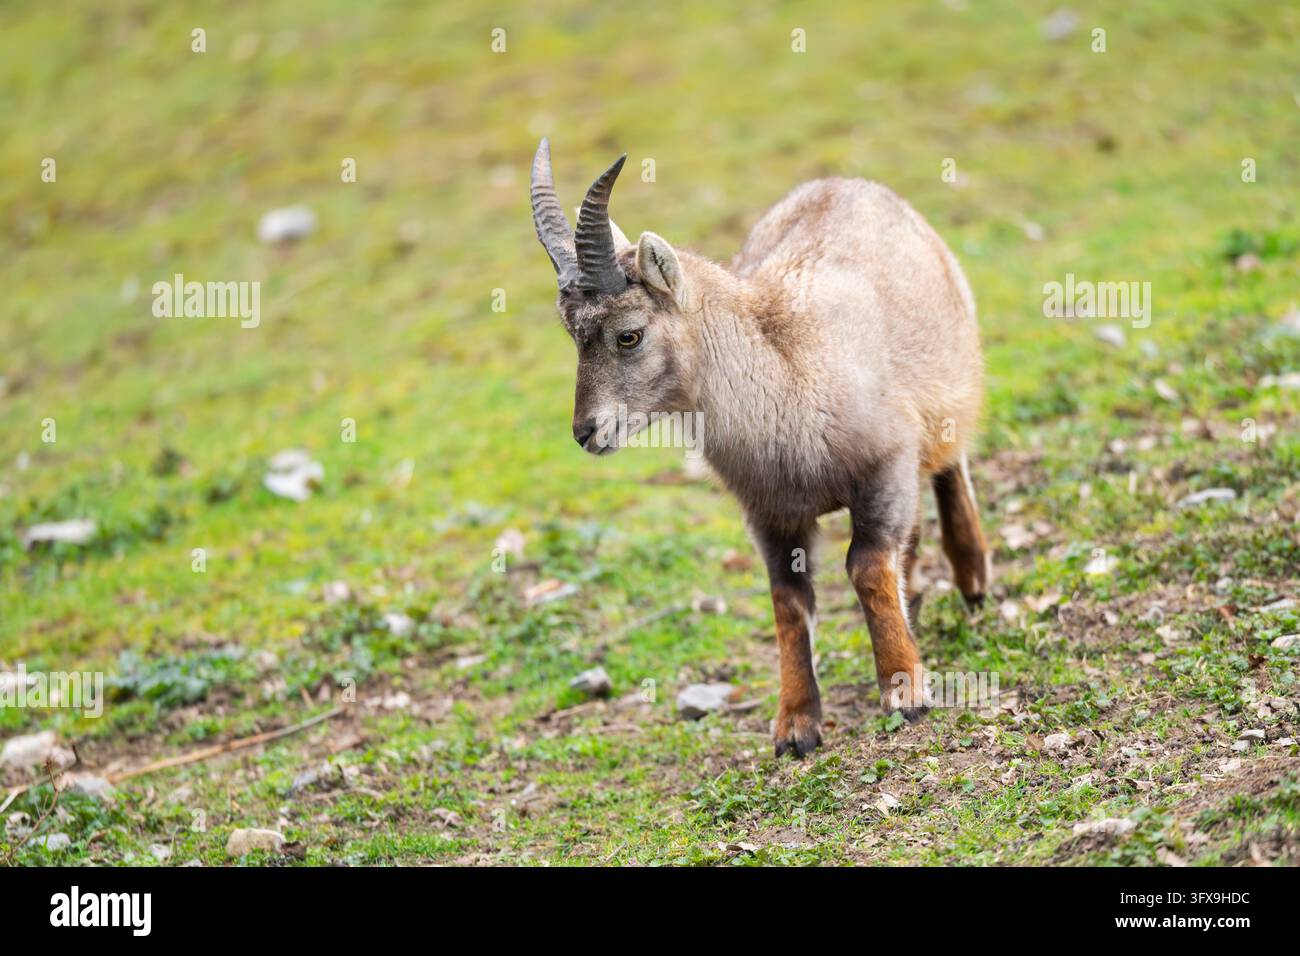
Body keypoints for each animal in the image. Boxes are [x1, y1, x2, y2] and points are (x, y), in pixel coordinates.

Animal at [529, 139, 990, 757]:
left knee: (949, 467)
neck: (789, 375)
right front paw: (795, 725)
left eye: (628, 334)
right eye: (572, 337)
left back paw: (973, 580)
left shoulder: (885, 468)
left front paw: (905, 691)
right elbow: (788, 600)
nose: (586, 432)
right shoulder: (770, 513)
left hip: (949, 391)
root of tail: (844, 183)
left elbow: (867, 567)